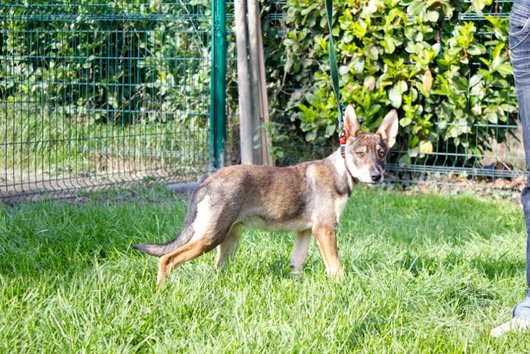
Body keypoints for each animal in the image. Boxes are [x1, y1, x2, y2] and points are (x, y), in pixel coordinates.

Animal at [133, 105, 396, 284]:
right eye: (360, 154)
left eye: (381, 153)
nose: (376, 176)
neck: (340, 171)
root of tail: (206, 182)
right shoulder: (325, 230)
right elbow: (336, 269)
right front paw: (342, 288)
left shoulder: (305, 232)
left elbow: (296, 265)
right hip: (210, 237)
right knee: (167, 259)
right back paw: (161, 291)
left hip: (228, 239)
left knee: (216, 269)